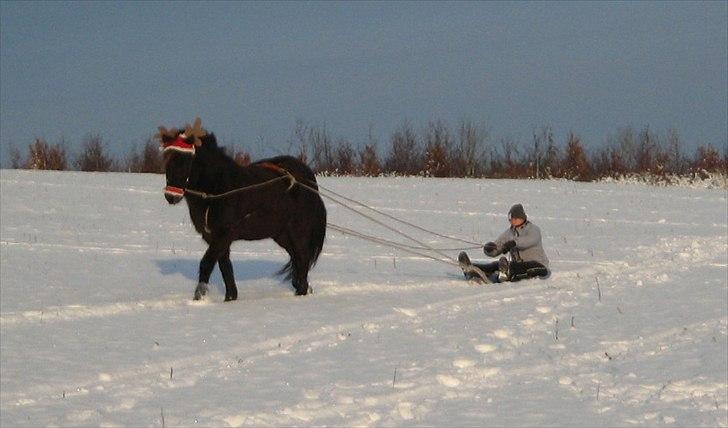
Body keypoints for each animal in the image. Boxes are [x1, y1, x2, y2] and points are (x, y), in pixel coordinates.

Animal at [163, 118, 330, 300]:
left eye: (185, 160)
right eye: (166, 158)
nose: (171, 196)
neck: (217, 190)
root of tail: (309, 178)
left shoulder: (223, 235)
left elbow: (207, 263)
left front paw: (199, 297)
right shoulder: (214, 237)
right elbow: (225, 267)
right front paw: (230, 298)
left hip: (298, 231)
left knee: (302, 259)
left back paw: (301, 293)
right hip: (281, 234)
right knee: (297, 261)